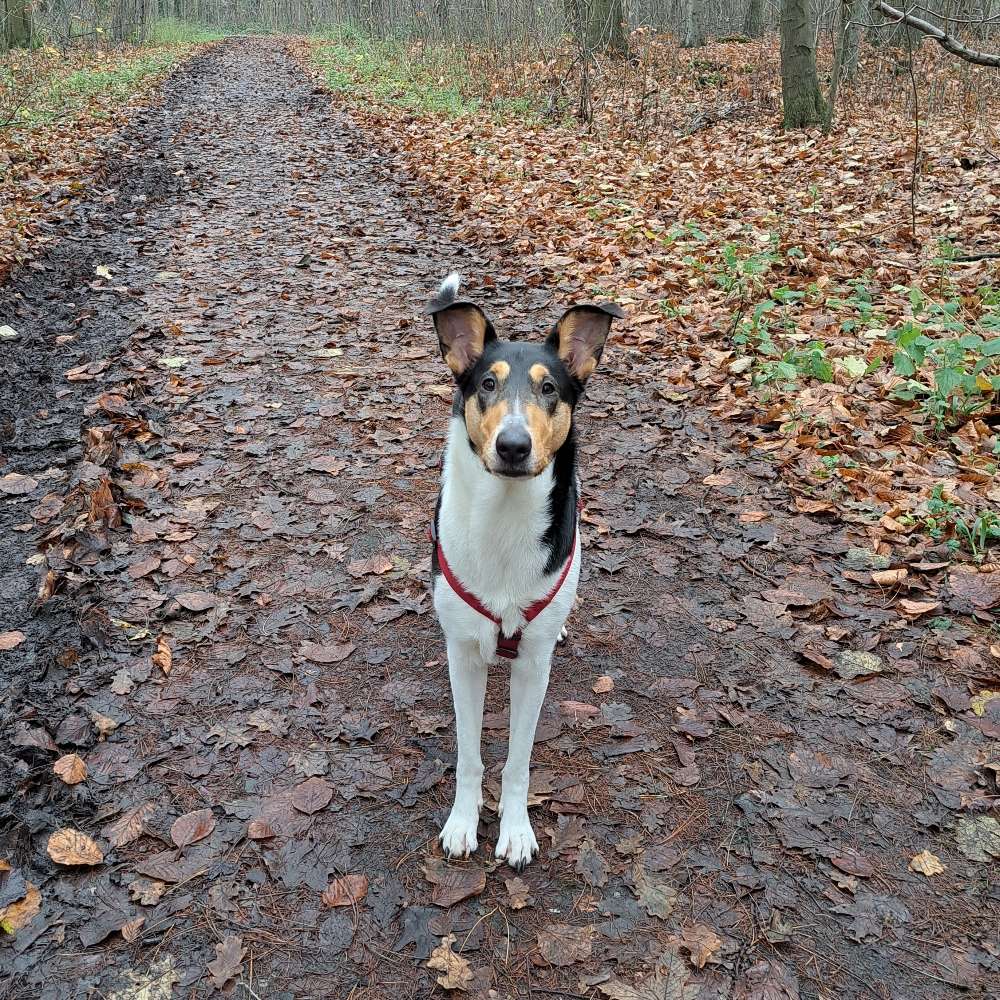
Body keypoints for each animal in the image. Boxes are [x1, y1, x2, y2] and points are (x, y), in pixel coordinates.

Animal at [424, 272, 624, 868]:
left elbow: (517, 760)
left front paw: (514, 829)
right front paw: (462, 821)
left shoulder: (533, 665)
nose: (513, 445)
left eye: (550, 389)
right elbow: (469, 754)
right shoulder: (464, 656)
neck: (505, 518)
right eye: (487, 384)